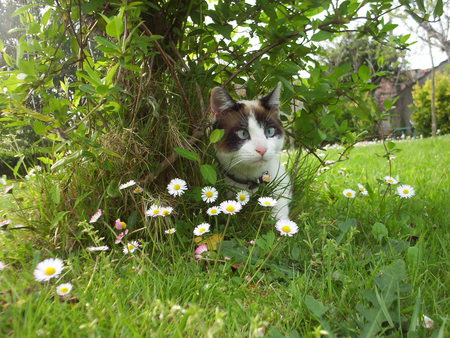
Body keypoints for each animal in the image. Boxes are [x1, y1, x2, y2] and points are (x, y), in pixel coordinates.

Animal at [211, 81, 292, 219]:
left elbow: (280, 211)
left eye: (270, 131)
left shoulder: (282, 182)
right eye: (243, 133)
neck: (252, 181)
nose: (262, 149)